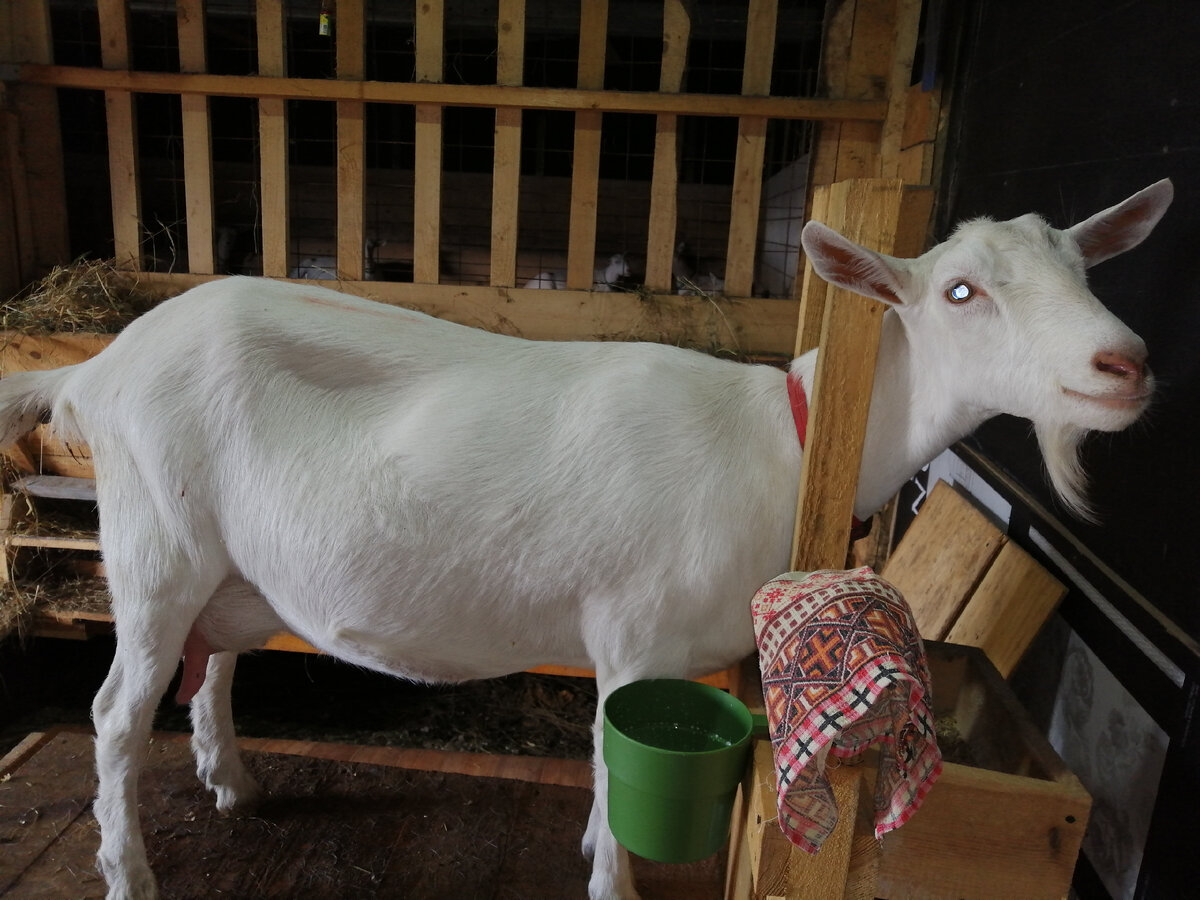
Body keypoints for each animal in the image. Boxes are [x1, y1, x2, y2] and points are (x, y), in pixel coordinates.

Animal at [0, 180, 1166, 897]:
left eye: (1086, 272)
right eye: (962, 290)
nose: (1125, 363)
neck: (783, 439)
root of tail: (100, 365)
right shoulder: (633, 636)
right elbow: (612, 769)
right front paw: (613, 871)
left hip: (232, 567)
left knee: (215, 666)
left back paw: (233, 782)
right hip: (154, 544)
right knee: (115, 715)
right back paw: (130, 871)